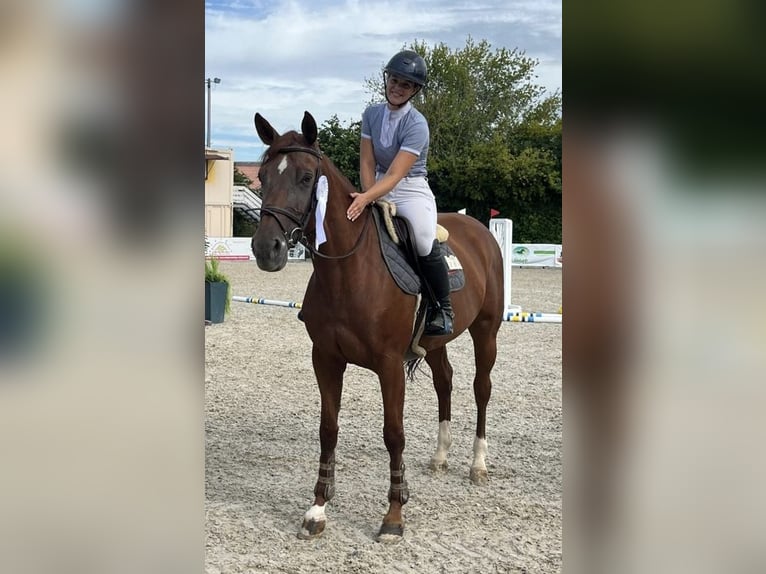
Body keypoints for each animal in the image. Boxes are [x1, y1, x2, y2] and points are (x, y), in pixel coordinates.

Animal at [251, 111, 504, 543]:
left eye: (306, 177)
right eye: (263, 176)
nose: (266, 248)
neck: (349, 270)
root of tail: (481, 231)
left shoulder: (389, 365)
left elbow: (394, 434)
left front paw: (394, 516)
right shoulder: (326, 359)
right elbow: (328, 429)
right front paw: (317, 510)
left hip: (486, 332)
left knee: (481, 388)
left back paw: (478, 464)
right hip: (435, 343)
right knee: (445, 382)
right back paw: (440, 456)